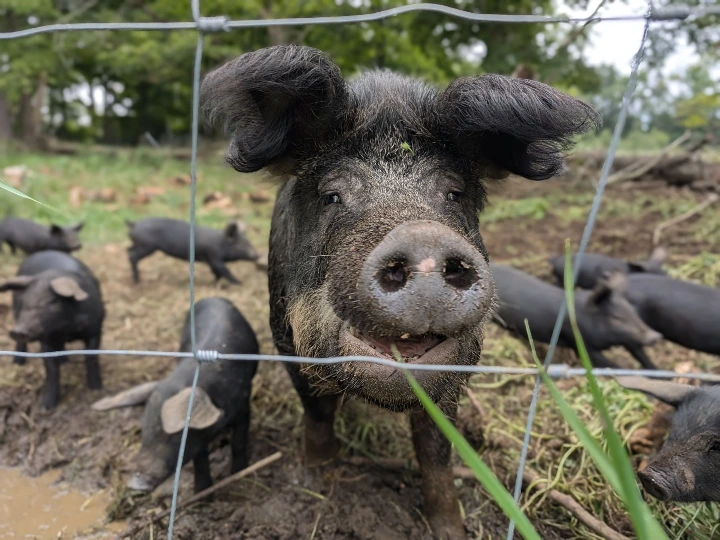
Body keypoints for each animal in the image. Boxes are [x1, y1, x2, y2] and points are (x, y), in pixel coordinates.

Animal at [0, 253, 104, 410]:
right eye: (25, 301)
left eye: (51, 301)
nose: (18, 331)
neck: (66, 329)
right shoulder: (45, 339)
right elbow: (51, 368)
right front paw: (46, 407)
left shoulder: (95, 329)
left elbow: (91, 358)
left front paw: (97, 390)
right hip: (15, 311)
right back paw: (18, 363)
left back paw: (64, 361)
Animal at [91, 297, 259, 494]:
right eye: (145, 431)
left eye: (173, 436)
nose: (134, 484)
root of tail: (212, 297)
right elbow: (200, 461)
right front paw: (202, 493)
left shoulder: (243, 402)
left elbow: (239, 441)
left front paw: (240, 473)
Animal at [125, 217, 259, 285]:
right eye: (240, 245)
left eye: (250, 242)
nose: (257, 255)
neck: (220, 242)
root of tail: (134, 224)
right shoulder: (214, 255)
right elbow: (224, 270)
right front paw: (239, 283)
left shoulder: (210, 259)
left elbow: (215, 271)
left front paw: (214, 282)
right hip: (147, 246)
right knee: (132, 255)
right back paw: (137, 281)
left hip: (139, 244)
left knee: (128, 250)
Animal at [200, 44, 601, 538]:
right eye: (332, 195)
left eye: (453, 193)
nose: (424, 239)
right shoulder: (283, 339)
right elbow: (317, 413)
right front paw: (317, 474)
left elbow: (436, 446)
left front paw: (449, 528)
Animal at [490, 263, 662, 369]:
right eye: (616, 318)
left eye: (633, 312)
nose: (656, 336)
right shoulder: (577, 339)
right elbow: (608, 364)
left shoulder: (626, 338)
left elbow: (638, 351)